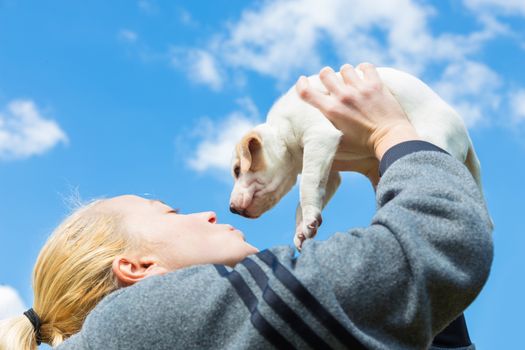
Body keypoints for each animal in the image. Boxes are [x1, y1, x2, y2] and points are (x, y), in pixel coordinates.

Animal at [227, 67, 482, 249]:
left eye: (238, 170)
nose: (231, 209)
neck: (281, 130)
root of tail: (465, 136)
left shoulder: (319, 135)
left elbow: (307, 186)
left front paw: (307, 220)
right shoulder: (330, 170)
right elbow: (312, 191)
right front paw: (303, 229)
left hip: (432, 140)